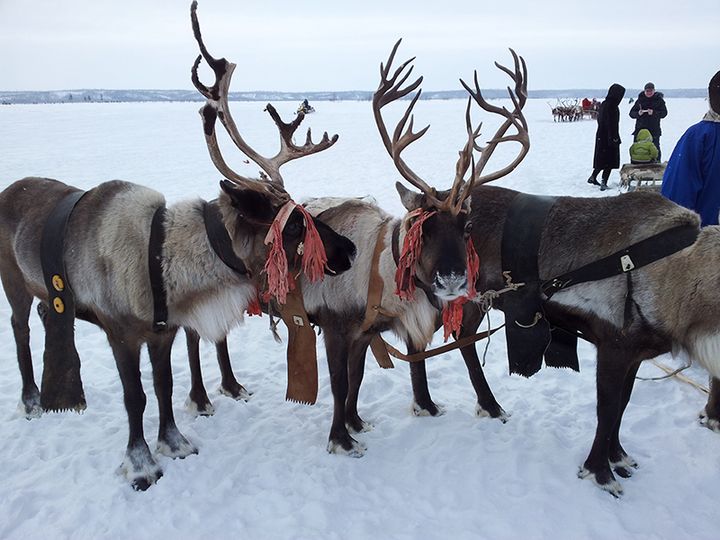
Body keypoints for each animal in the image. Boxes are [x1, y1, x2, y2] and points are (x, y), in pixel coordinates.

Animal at [0, 0, 355, 491]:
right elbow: (136, 397)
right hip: (12, 281)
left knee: (42, 313)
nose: (351, 250)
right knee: (19, 327)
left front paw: (175, 442)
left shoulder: (162, 332)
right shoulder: (121, 331)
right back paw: (32, 400)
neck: (167, 265)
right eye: (295, 227)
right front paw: (142, 463)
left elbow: (164, 387)